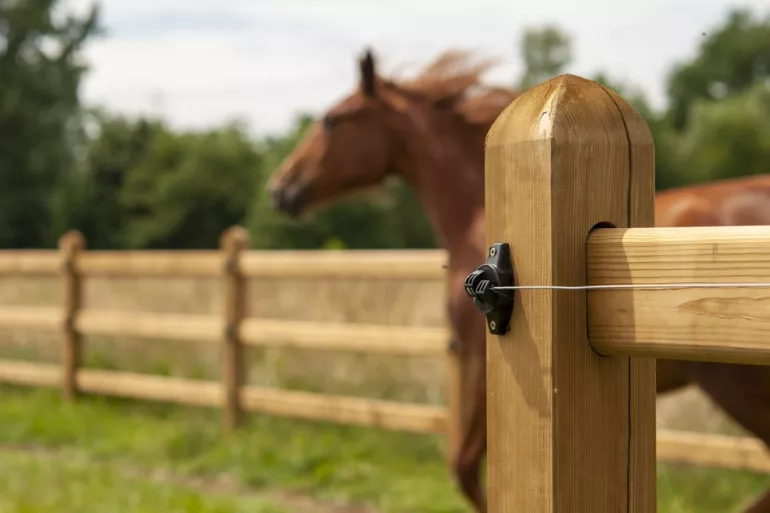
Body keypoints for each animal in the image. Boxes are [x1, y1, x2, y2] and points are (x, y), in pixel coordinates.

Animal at [267, 48, 770, 512]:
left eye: (332, 119)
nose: (281, 188)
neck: (475, 214)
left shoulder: (481, 361)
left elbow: (465, 469)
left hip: (735, 384)